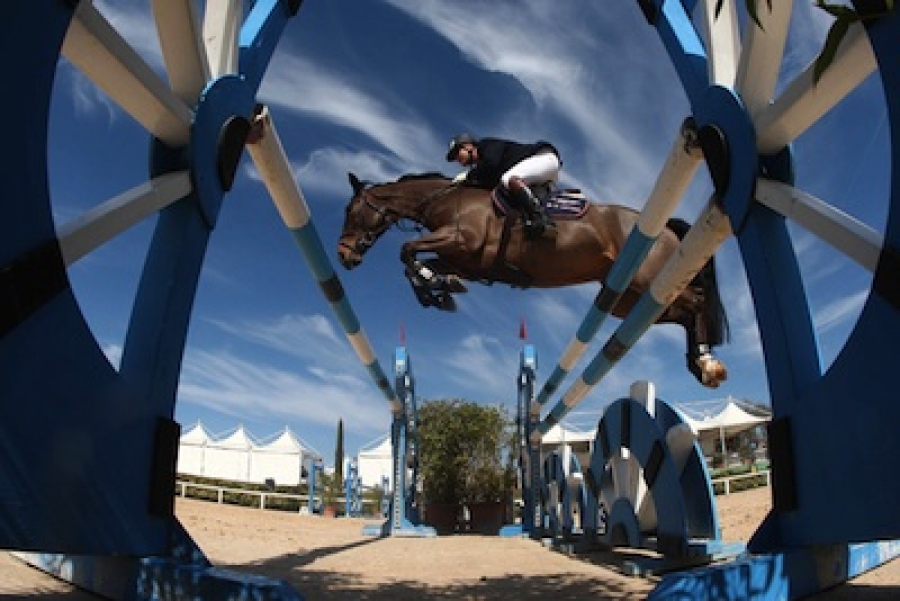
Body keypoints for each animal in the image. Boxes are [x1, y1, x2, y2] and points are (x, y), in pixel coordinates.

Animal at [340, 171, 732, 386]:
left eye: (350, 212)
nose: (344, 256)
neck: (445, 201)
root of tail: (666, 229)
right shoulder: (465, 259)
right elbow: (419, 263)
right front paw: (438, 290)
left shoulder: (461, 240)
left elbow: (406, 250)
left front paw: (434, 288)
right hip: (630, 300)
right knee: (680, 312)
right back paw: (701, 363)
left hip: (648, 281)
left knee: (696, 302)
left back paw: (707, 363)